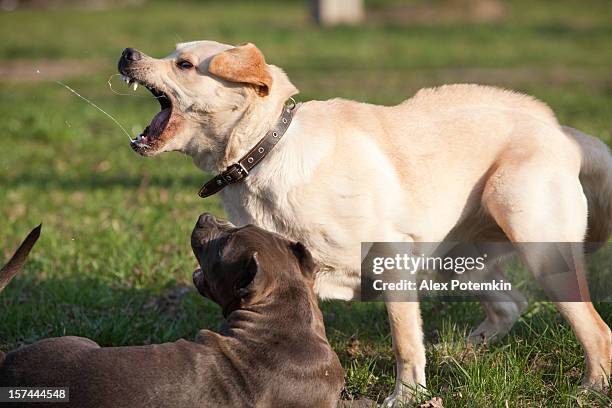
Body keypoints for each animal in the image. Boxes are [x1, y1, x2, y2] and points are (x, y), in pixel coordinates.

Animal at [118, 40, 612, 404]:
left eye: (183, 63)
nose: (127, 54)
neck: (265, 150)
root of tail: (562, 132)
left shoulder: (392, 257)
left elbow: (404, 340)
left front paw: (407, 396)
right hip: (452, 265)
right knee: (511, 303)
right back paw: (464, 352)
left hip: (536, 242)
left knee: (595, 329)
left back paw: (591, 388)